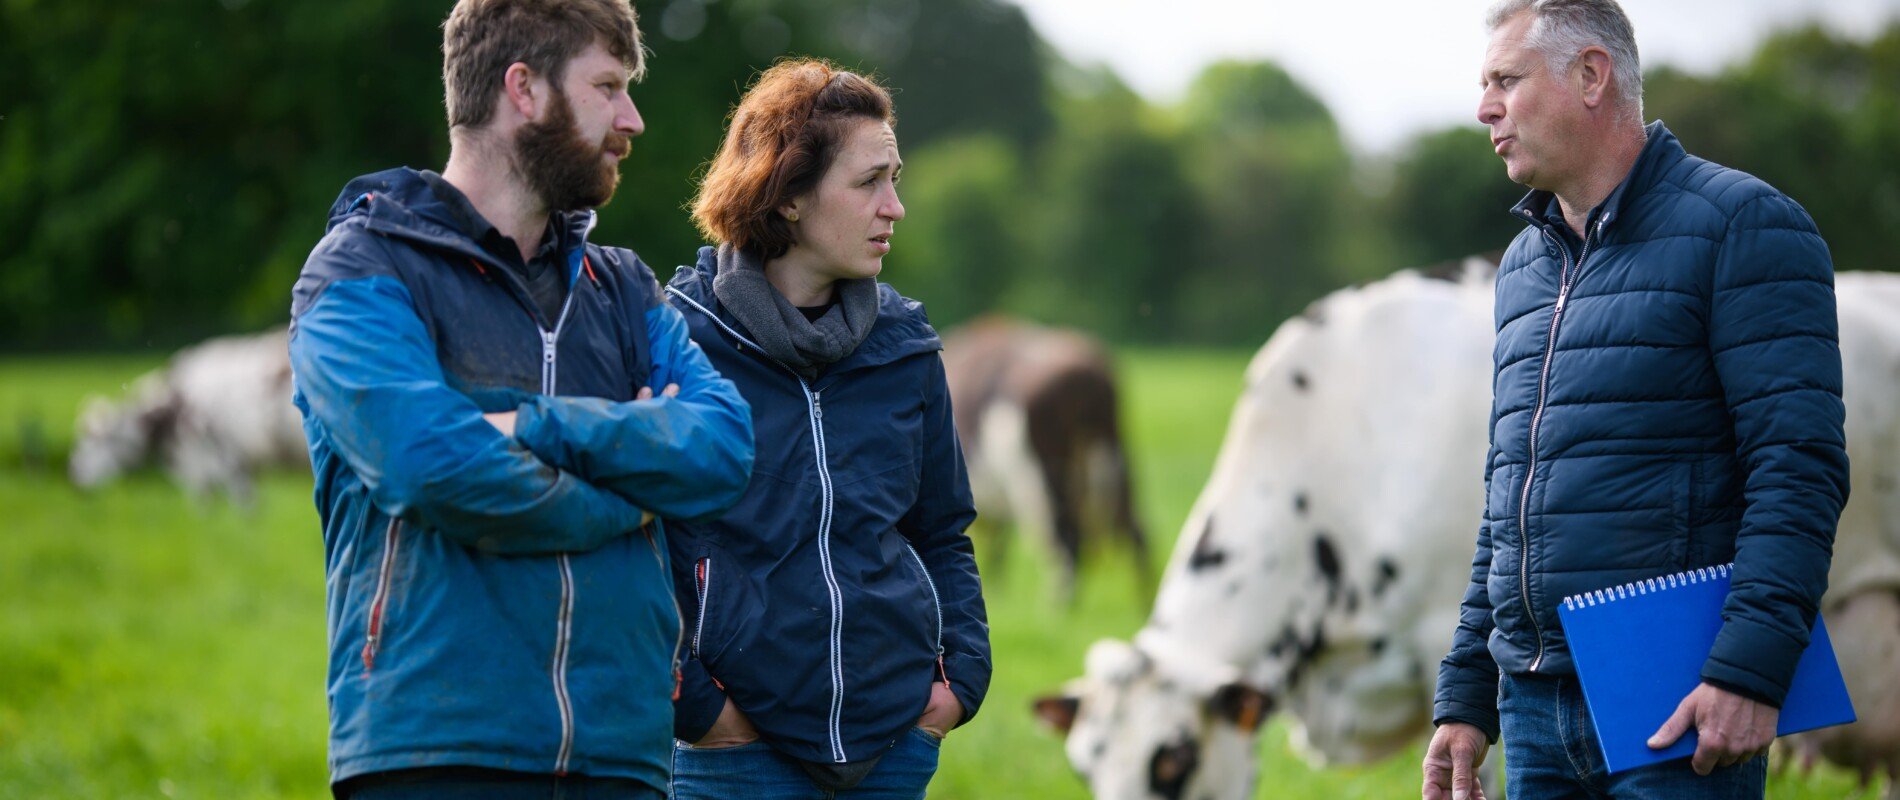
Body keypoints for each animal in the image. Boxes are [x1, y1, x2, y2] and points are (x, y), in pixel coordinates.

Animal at [942, 315, 1147, 596]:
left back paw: (1059, 597)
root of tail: (1085, 373)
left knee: (1067, 538)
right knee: (1135, 532)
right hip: (1115, 457)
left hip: (1045, 478)